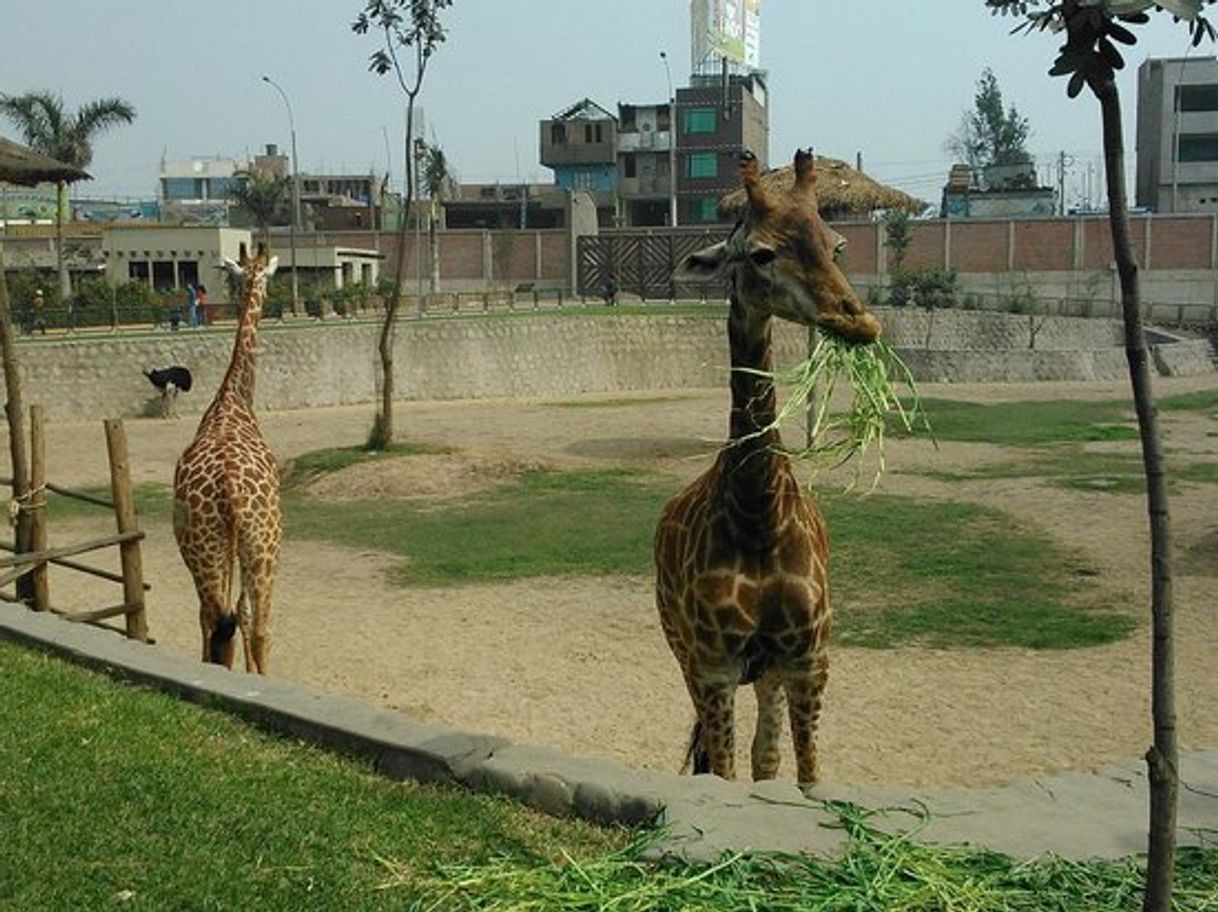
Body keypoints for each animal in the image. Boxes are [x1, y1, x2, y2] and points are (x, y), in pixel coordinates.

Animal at [172, 245, 283, 672]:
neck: (232, 401)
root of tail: (232, 494)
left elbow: (217, 619)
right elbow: (239, 616)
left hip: (216, 550)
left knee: (222, 620)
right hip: (258, 548)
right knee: (247, 624)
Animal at [652, 150, 881, 789]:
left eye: (835, 245)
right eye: (760, 253)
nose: (856, 320)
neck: (759, 513)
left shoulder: (808, 660)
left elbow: (804, 776)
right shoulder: (714, 665)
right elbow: (722, 775)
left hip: (769, 673)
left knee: (766, 757)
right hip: (683, 652)